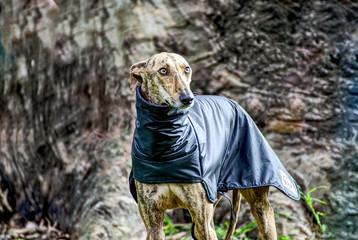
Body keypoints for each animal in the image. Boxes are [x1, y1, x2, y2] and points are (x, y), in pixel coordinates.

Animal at [129, 51, 280, 239]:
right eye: (163, 70)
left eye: (187, 69)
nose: (188, 98)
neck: (165, 146)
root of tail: (233, 102)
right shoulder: (153, 224)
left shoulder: (202, 220)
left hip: (257, 203)